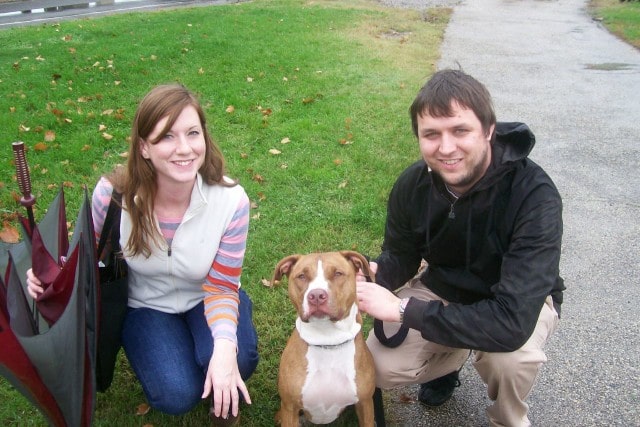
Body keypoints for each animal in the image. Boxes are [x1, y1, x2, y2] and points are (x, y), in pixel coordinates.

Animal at [272, 251, 378, 427]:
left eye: (337, 273)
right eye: (301, 276)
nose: (316, 295)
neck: (328, 341)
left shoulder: (365, 403)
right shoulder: (290, 407)